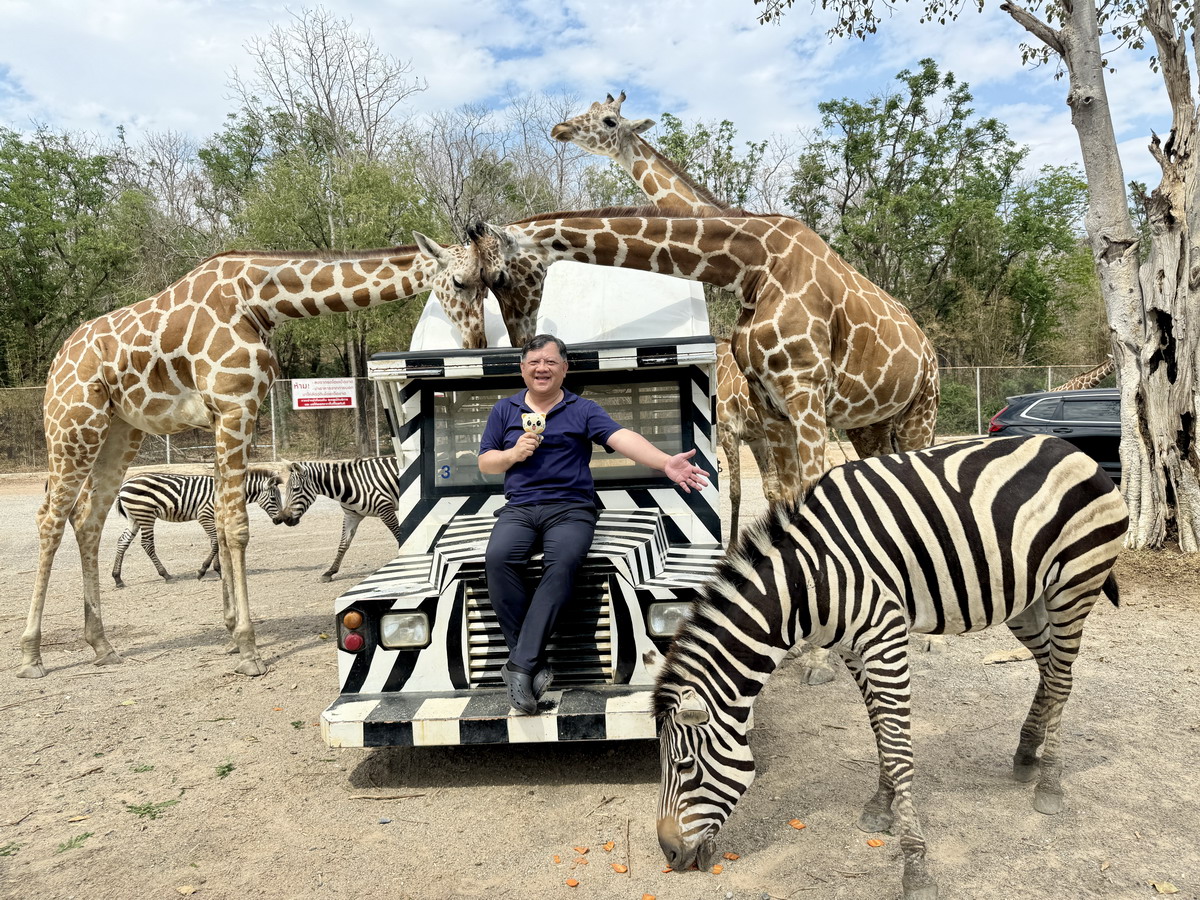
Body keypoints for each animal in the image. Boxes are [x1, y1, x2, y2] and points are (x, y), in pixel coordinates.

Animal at [112, 468, 290, 588]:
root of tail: (124, 485)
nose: (280, 520)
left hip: (135, 518)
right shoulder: (204, 515)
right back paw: (166, 575)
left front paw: (218, 570)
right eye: (273, 498)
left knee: (122, 541)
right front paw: (203, 571)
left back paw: (117, 578)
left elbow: (217, 542)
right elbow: (215, 543)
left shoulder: (215, 518)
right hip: (145, 515)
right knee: (147, 544)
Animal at [652, 434, 1128, 897]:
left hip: (1075, 585)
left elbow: (899, 750)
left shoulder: (885, 636)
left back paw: (1050, 784)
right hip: (1027, 600)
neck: (807, 582)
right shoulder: (851, 648)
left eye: (685, 767)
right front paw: (881, 807)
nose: (669, 855)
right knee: (1049, 670)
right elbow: (880, 728)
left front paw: (916, 867)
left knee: (1062, 679)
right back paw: (1028, 753)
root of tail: (1070, 448)